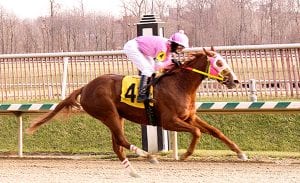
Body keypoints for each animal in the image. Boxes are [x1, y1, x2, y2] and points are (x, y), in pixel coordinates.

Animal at [27, 48, 248, 177]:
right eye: (219, 63)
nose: (235, 80)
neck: (179, 85)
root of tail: (85, 87)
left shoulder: (190, 117)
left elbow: (214, 131)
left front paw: (240, 153)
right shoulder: (168, 121)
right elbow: (197, 132)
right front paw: (185, 154)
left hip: (116, 116)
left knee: (117, 146)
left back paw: (134, 172)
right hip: (108, 113)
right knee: (122, 141)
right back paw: (148, 156)